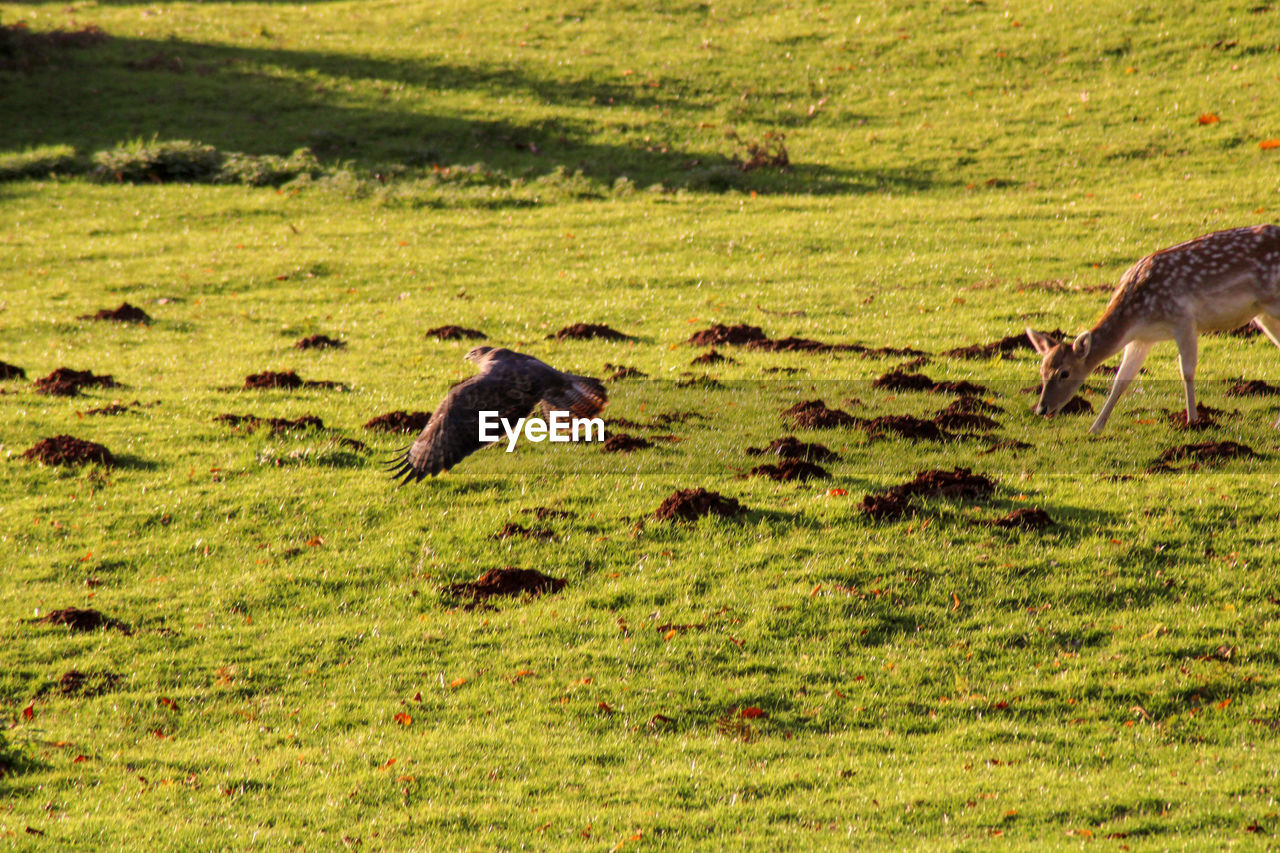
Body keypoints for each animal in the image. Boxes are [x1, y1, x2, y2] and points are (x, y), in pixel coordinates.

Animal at [1024, 222, 1280, 432]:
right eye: (1042, 370)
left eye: (1064, 373)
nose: (1042, 409)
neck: (1137, 314)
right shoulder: (1141, 339)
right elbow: (1121, 379)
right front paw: (1095, 427)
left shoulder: (1183, 318)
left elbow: (1186, 371)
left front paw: (1192, 421)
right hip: (1262, 314)